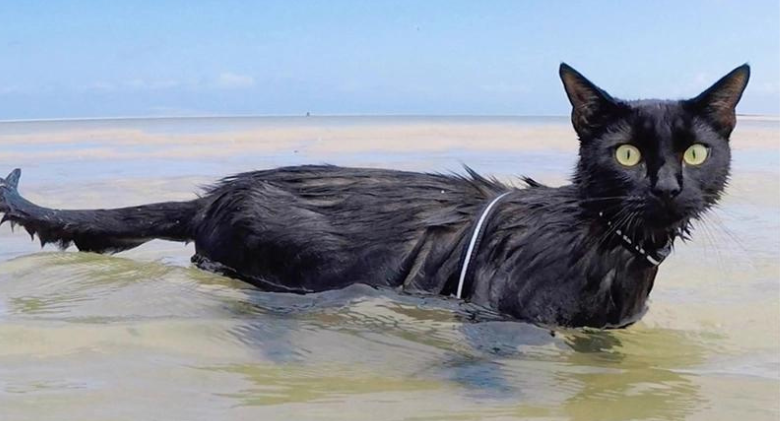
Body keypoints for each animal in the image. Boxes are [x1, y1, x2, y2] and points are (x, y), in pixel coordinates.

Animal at [0, 64, 748, 328]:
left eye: (695, 152)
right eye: (626, 154)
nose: (667, 186)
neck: (613, 249)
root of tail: (216, 192)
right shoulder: (503, 320)